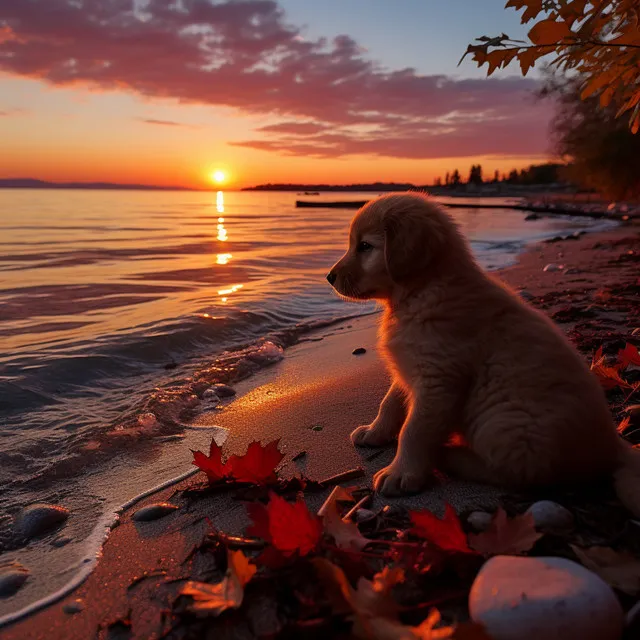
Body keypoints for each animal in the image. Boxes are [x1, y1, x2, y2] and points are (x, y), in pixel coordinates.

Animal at [328, 191, 636, 516]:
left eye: (365, 246)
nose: (329, 277)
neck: (422, 291)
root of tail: (614, 444)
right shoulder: (409, 369)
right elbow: (390, 404)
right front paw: (374, 433)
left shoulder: (440, 381)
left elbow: (414, 430)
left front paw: (402, 474)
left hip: (503, 423)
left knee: (520, 473)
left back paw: (449, 456)